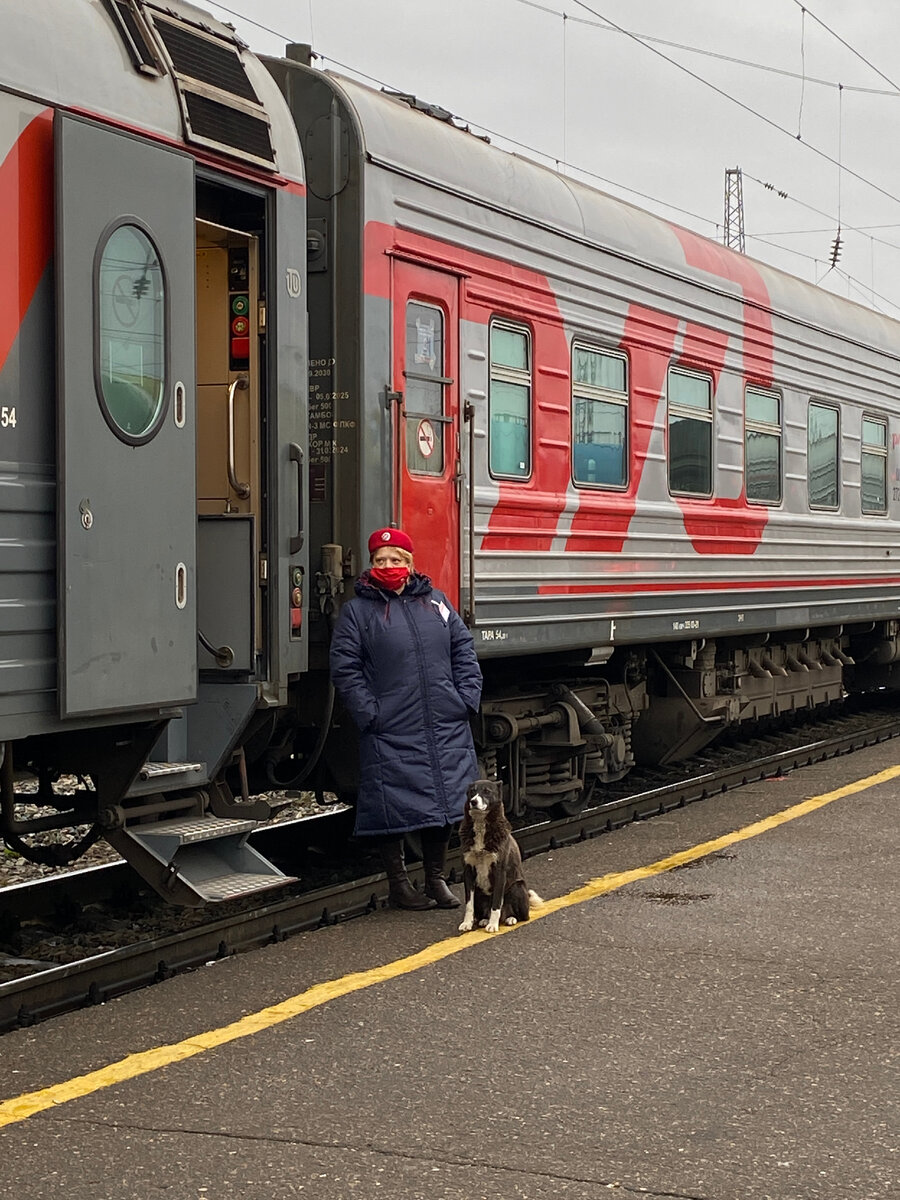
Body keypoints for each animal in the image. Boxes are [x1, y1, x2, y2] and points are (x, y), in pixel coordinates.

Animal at [458, 777, 542, 936]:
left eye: (487, 791)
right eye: (472, 791)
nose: (473, 801)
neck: (481, 825)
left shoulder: (499, 871)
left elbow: (496, 903)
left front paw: (493, 925)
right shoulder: (468, 871)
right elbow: (469, 904)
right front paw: (467, 923)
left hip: (516, 888)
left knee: (521, 916)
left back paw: (510, 919)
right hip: (479, 893)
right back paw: (484, 920)